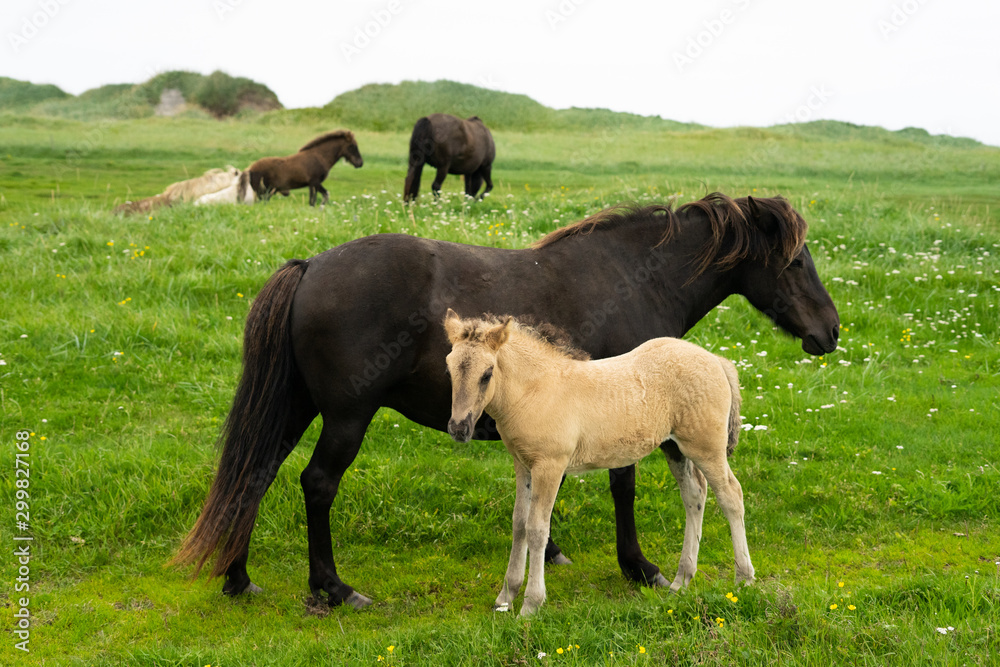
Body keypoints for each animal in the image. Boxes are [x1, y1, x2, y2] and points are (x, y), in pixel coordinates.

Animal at [442, 310, 752, 620]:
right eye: (449, 370)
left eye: (487, 373)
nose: (458, 428)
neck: (535, 390)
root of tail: (716, 360)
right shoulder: (522, 464)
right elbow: (519, 523)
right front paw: (506, 597)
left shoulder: (550, 465)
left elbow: (537, 529)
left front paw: (530, 605)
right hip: (675, 447)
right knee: (694, 495)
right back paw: (681, 581)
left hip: (706, 448)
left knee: (731, 495)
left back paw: (744, 579)